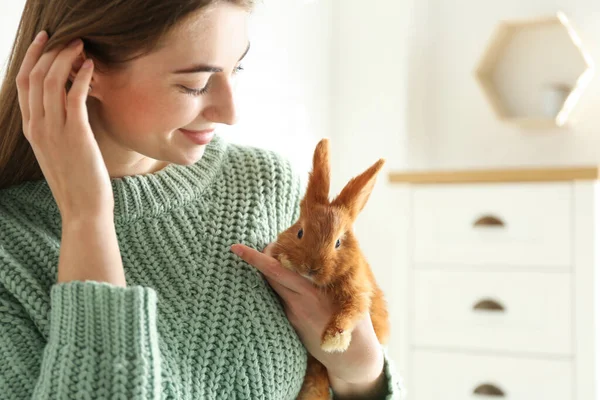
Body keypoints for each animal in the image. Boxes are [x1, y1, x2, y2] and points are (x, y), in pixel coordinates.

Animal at [270, 138, 390, 400]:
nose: (311, 268)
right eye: (300, 232)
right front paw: (285, 260)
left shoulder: (358, 292)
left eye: (338, 243)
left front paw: (333, 342)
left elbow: (350, 312)